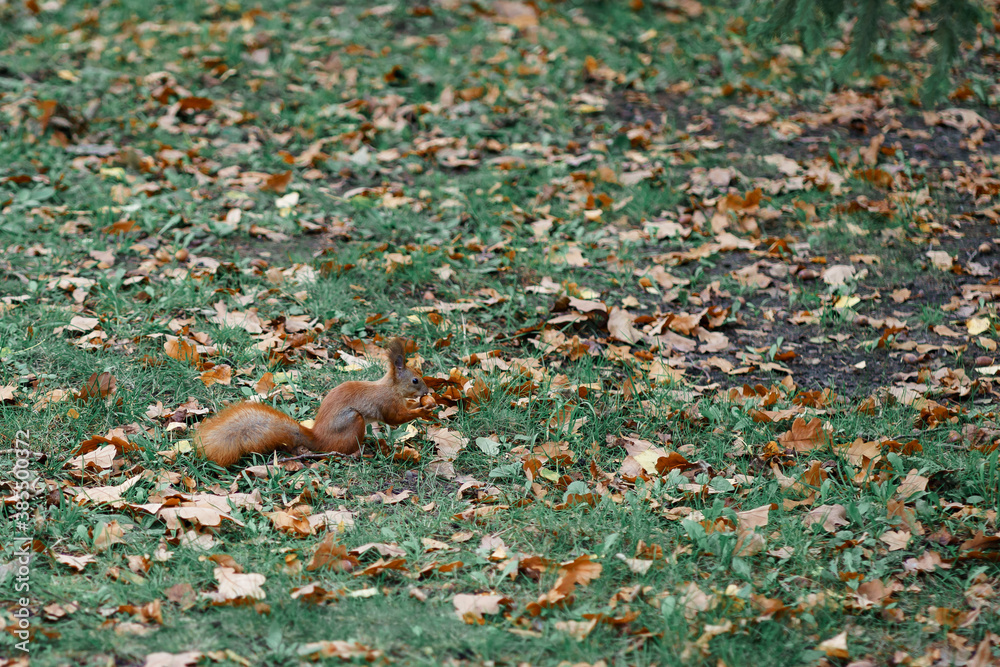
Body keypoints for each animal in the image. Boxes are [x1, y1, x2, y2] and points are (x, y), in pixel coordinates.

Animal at [194, 338, 433, 467]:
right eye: (415, 380)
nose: (427, 391)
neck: (391, 387)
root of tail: (318, 439)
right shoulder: (387, 403)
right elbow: (395, 419)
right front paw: (423, 411)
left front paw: (427, 405)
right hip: (353, 421)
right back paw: (359, 452)